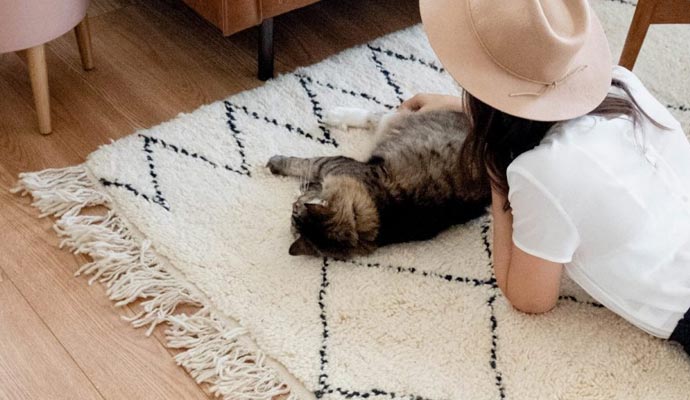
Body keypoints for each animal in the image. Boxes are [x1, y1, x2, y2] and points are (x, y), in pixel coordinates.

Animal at [264, 108, 490, 258]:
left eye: (294, 210)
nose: (293, 204)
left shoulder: (334, 164)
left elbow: (306, 164)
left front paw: (277, 164)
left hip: (394, 122)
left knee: (376, 115)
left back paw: (334, 116)